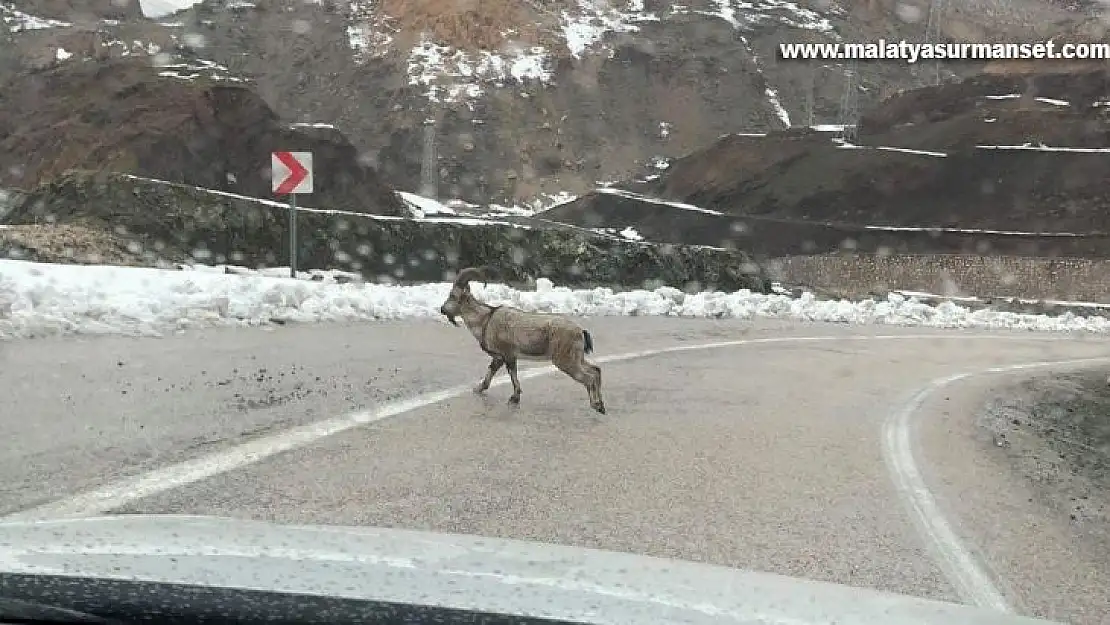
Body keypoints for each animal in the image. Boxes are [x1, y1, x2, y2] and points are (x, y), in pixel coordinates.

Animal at [437, 265, 608, 415]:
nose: (442, 309)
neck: (486, 320)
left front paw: (514, 398)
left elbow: (513, 376)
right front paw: (479, 389)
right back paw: (602, 405)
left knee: (589, 378)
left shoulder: (507, 354)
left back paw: (596, 406)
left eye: (452, 296)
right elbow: (491, 372)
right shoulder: (500, 357)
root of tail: (580, 331)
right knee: (596, 370)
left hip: (565, 361)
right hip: (577, 358)